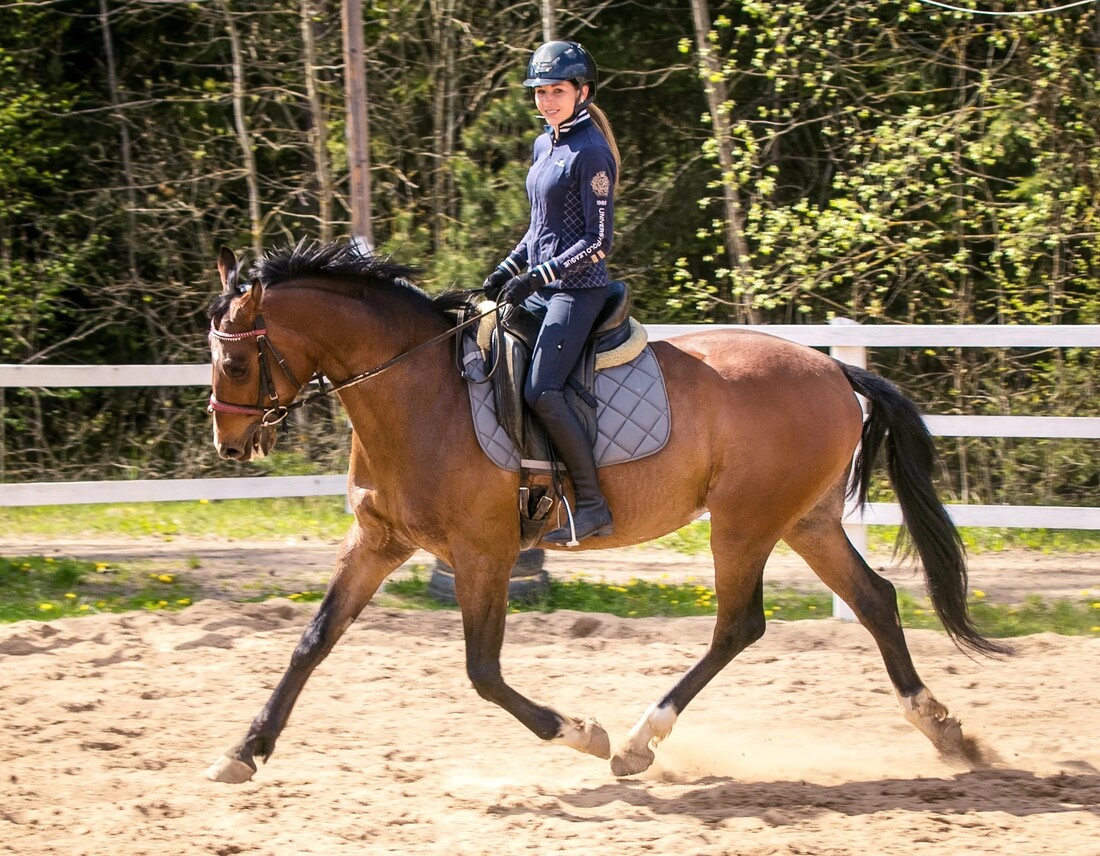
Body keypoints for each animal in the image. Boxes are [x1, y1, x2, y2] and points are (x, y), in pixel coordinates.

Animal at [202, 238, 1003, 778]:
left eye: (235, 361)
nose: (230, 444)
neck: (418, 391)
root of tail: (833, 368)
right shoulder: (378, 541)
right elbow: (313, 640)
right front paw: (244, 751)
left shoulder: (485, 553)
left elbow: (482, 671)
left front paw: (581, 732)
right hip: (805, 522)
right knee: (874, 600)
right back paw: (945, 732)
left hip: (745, 523)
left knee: (739, 625)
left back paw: (639, 742)